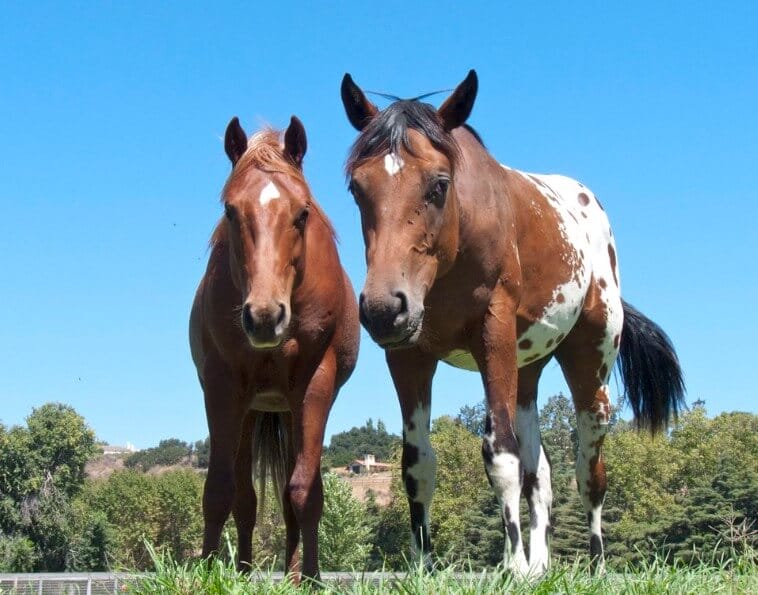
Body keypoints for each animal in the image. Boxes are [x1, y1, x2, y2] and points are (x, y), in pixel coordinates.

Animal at [189, 116, 359, 581]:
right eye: (230, 210)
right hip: (251, 409)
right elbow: (219, 491)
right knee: (246, 500)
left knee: (287, 498)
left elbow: (305, 492)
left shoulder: (315, 385)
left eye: (302, 212)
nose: (264, 316)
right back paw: (245, 570)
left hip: (290, 407)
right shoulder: (222, 387)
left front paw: (312, 579)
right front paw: (208, 572)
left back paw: (293, 573)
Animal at [340, 70, 685, 575]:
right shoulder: (409, 356)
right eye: (357, 189)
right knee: (540, 471)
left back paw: (593, 564)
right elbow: (418, 464)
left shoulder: (493, 337)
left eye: (439, 184)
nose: (384, 308)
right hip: (526, 371)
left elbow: (500, 454)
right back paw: (541, 566)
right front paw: (425, 565)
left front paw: (514, 565)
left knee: (589, 470)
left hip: (589, 366)